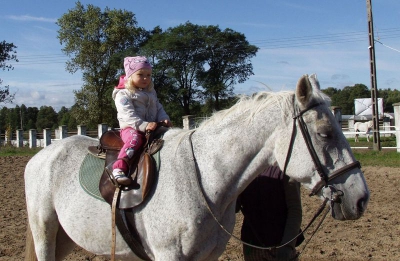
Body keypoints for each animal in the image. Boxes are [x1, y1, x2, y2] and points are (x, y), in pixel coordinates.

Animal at [24, 73, 368, 260]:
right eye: (324, 133)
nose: (360, 199)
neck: (204, 175)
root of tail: (42, 156)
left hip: (65, 239)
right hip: (44, 232)